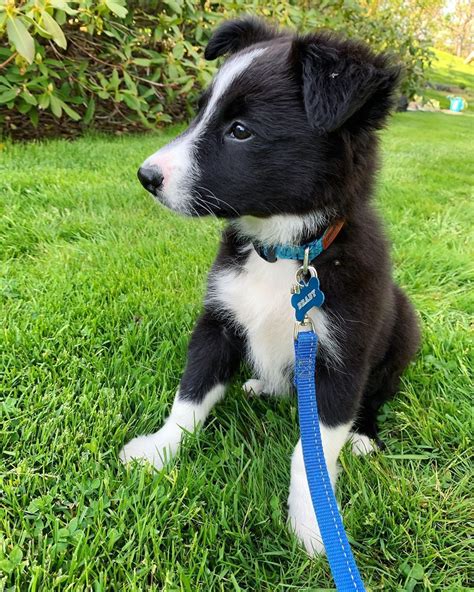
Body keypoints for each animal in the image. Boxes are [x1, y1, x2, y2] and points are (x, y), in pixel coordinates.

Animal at [120, 17, 420, 556]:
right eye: (199, 112)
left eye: (240, 131)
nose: (146, 176)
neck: (284, 253)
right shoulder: (219, 319)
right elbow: (190, 396)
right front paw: (158, 450)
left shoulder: (341, 354)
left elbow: (312, 453)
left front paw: (314, 524)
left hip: (404, 326)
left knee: (377, 394)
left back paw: (365, 435)